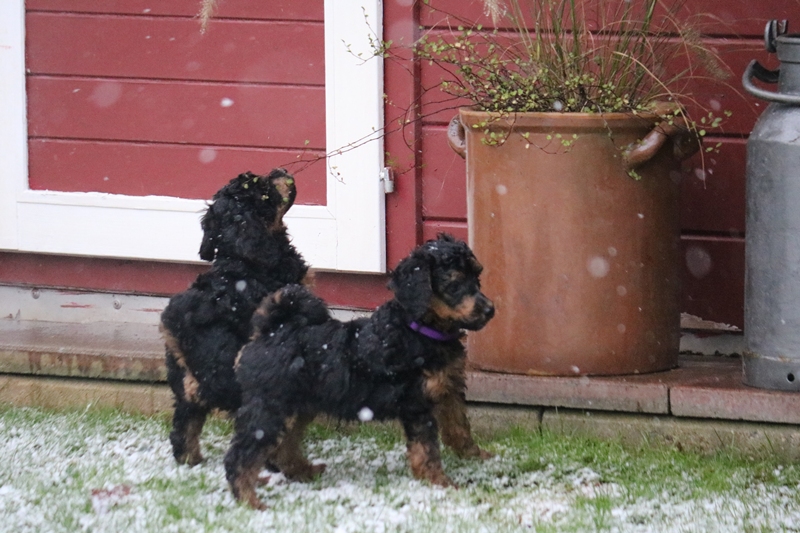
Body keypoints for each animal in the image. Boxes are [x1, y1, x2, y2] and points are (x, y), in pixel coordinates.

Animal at [160, 169, 309, 466]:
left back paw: (190, 460)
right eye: (263, 188)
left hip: (184, 384)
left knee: (184, 424)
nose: (279, 171)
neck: (239, 258)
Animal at [224, 234, 495, 509]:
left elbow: (459, 426)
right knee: (240, 455)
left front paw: (476, 455)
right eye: (454, 284)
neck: (419, 329)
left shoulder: (449, 388)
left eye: (477, 276)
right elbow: (427, 448)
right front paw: (440, 481)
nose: (490, 310)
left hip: (298, 407)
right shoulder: (417, 404)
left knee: (284, 447)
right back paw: (249, 500)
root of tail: (268, 331)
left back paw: (305, 471)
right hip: (271, 406)